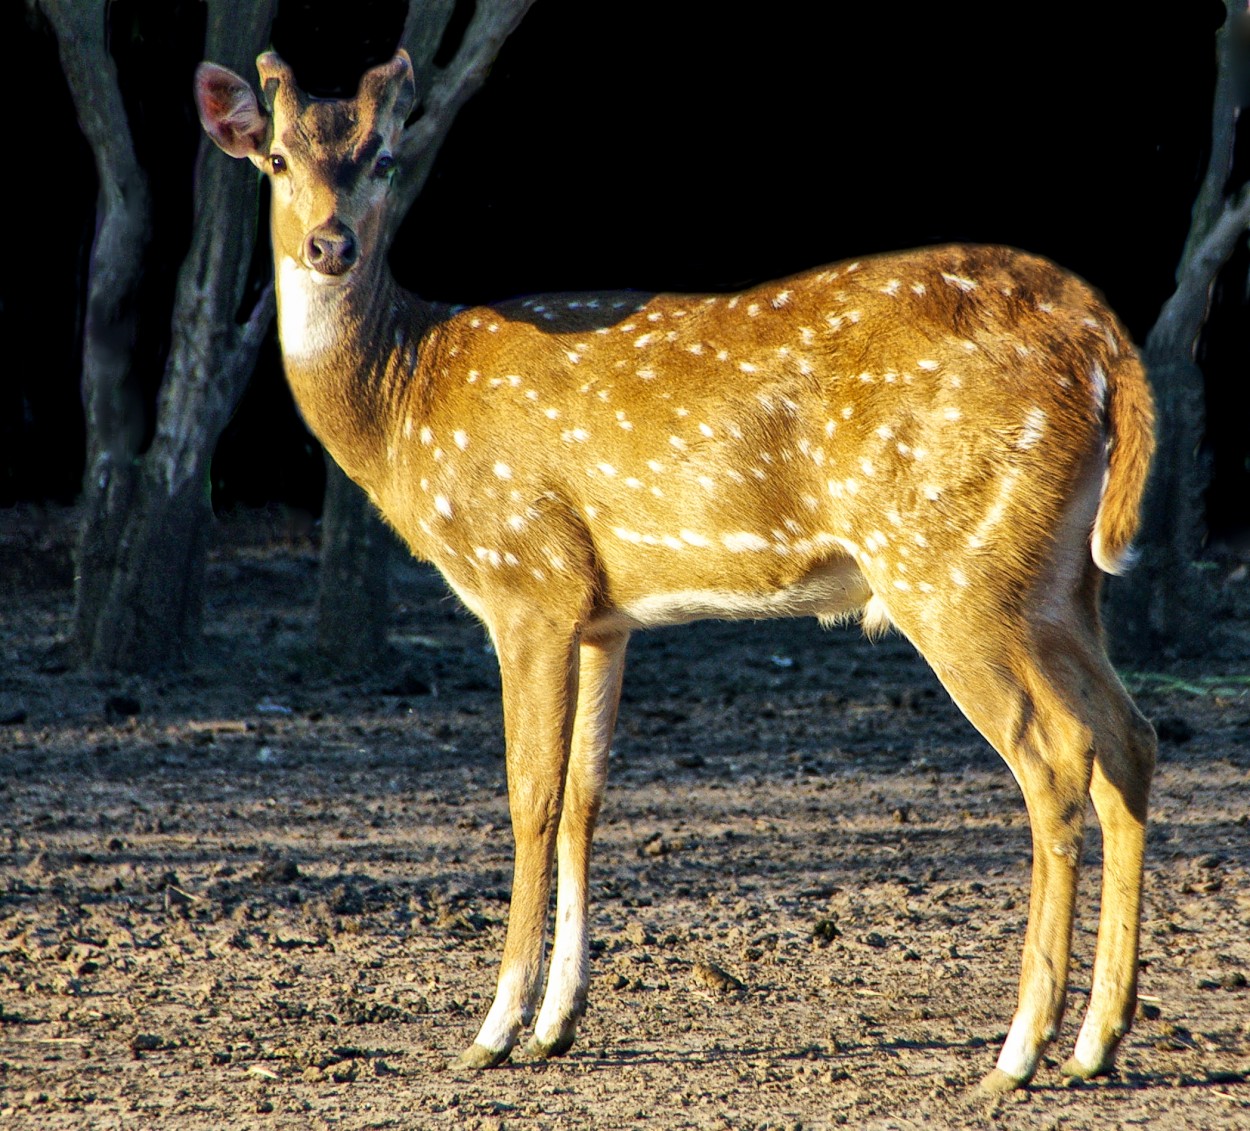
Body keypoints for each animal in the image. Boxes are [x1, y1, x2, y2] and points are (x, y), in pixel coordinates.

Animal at [195, 48, 1160, 1089]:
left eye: (381, 159)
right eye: (279, 160)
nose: (328, 244)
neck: (405, 400)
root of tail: (1101, 340)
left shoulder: (523, 576)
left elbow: (529, 797)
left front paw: (493, 1030)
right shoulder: (603, 614)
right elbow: (585, 798)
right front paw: (558, 1022)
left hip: (947, 567)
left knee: (1054, 757)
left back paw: (1020, 1050)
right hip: (1059, 580)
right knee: (1129, 737)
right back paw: (1097, 1040)